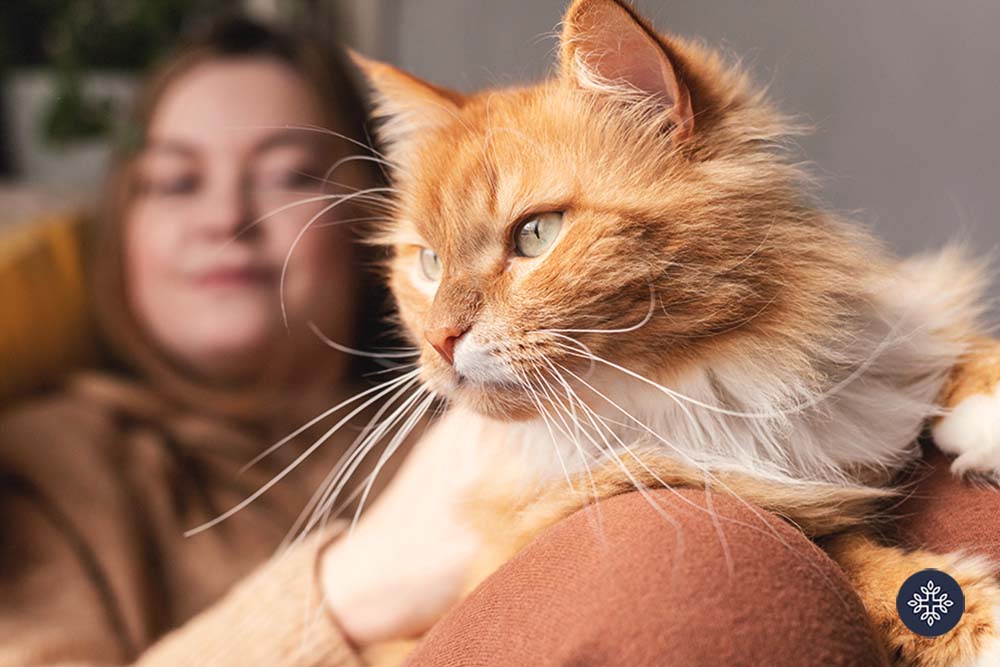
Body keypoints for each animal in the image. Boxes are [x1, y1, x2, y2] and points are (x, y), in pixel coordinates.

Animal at [346, 2, 1000, 664]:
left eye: (535, 234)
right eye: (430, 264)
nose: (440, 339)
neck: (706, 390)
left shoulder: (901, 323)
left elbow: (958, 347)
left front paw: (984, 419)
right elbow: (840, 554)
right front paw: (971, 623)